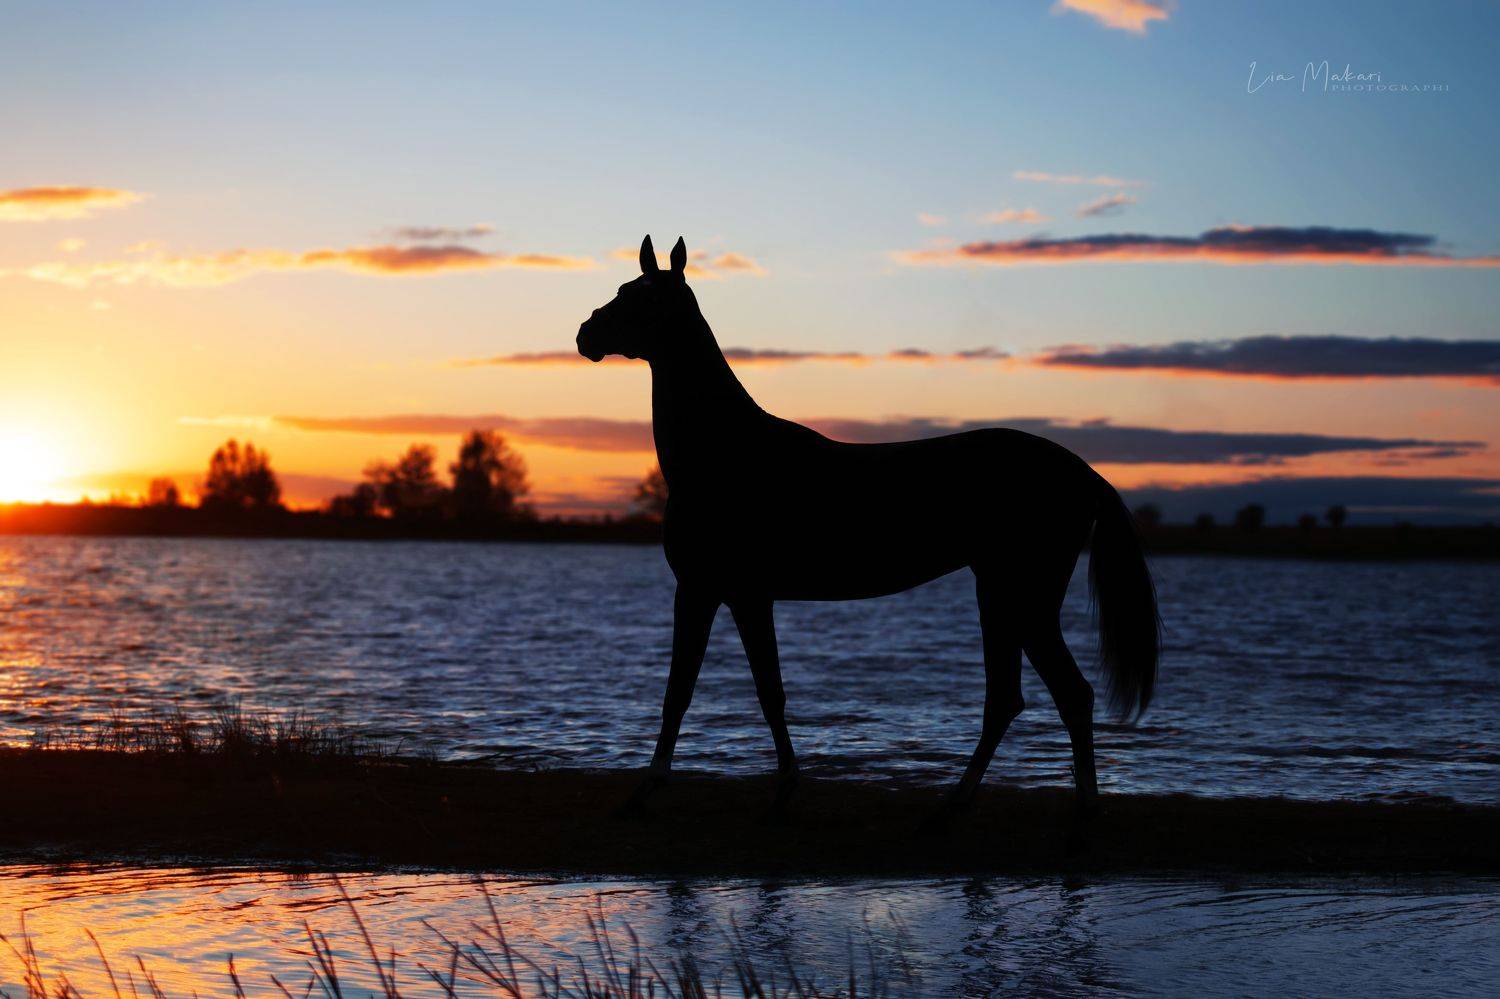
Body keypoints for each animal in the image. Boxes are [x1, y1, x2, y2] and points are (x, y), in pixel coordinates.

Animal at [577, 235, 1160, 833]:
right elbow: (764, 691)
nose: (585, 335)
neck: (724, 454)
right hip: (1000, 596)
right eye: (624, 288)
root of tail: (1083, 473)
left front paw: (648, 790)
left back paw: (1077, 811)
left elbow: (689, 691)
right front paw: (782, 790)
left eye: (645, 299)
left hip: (1023, 598)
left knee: (1067, 694)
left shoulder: (709, 591)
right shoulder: (741, 595)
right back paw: (955, 804)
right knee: (1008, 699)